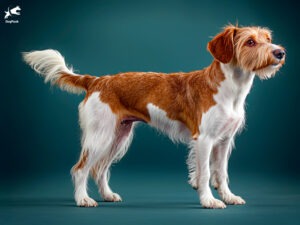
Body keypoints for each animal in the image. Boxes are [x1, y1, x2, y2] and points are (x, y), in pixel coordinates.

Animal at [23, 25, 286, 209]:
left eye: (268, 39)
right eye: (250, 42)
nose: (280, 52)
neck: (232, 89)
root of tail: (96, 81)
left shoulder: (224, 141)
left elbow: (221, 173)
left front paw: (229, 197)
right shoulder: (204, 140)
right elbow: (205, 173)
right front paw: (209, 201)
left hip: (118, 136)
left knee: (99, 169)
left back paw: (107, 195)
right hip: (100, 136)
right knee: (80, 169)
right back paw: (83, 200)